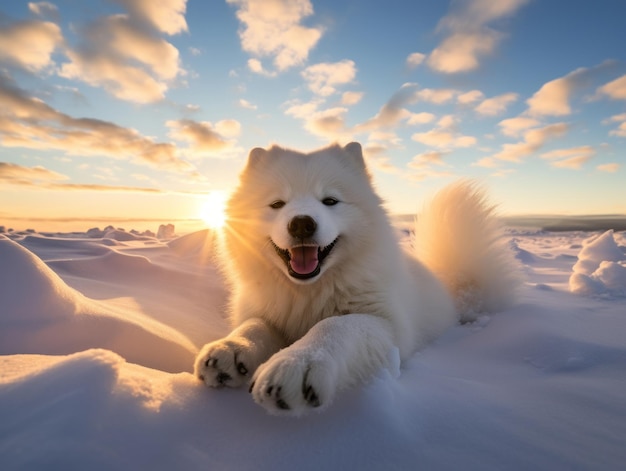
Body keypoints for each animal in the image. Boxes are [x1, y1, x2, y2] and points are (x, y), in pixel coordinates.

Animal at [195, 144, 516, 416]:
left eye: (330, 201)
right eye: (277, 203)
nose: (301, 223)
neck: (307, 294)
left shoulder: (388, 325)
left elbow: (336, 325)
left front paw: (297, 361)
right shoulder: (270, 310)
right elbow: (254, 324)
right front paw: (231, 347)